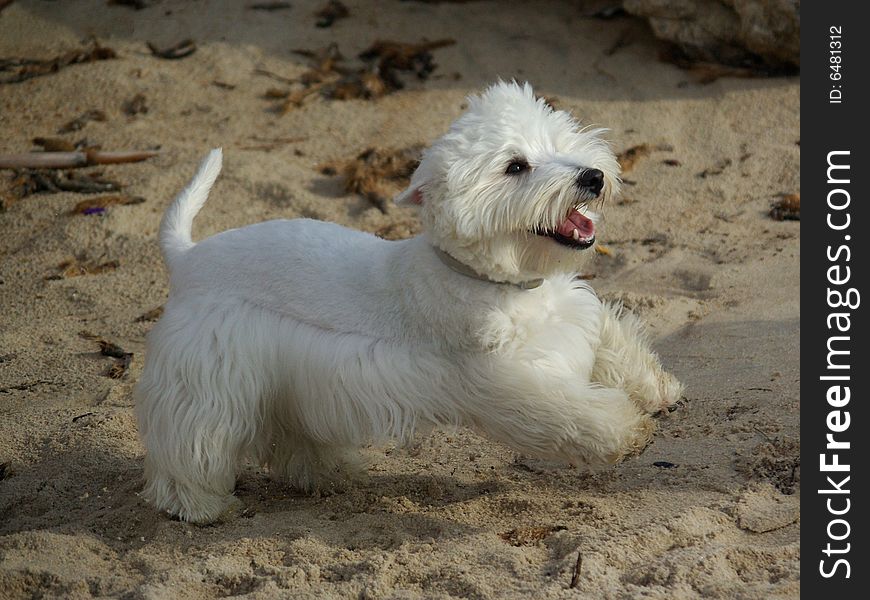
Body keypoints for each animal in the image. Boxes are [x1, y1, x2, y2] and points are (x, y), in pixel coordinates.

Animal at [136, 82, 684, 524]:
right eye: (515, 166)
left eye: (559, 141)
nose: (592, 177)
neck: (499, 283)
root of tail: (187, 256)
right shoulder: (504, 380)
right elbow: (576, 414)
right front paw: (628, 431)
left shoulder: (574, 313)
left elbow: (617, 348)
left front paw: (658, 389)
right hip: (208, 383)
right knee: (191, 447)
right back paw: (202, 507)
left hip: (286, 385)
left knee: (293, 438)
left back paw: (334, 472)